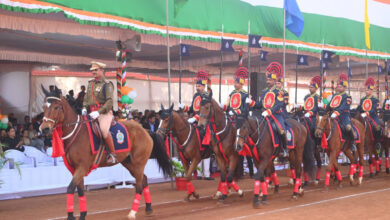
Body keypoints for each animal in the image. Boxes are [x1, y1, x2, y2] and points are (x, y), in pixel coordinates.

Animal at [39, 86, 171, 220]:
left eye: (56, 107)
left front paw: (71, 216)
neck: (76, 133)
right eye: (44, 107)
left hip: (138, 163)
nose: (44, 129)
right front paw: (82, 214)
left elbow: (70, 188)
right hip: (129, 163)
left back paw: (132, 212)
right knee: (144, 179)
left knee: (139, 185)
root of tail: (145, 130)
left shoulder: (82, 167)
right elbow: (80, 190)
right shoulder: (75, 169)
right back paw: (148, 207)